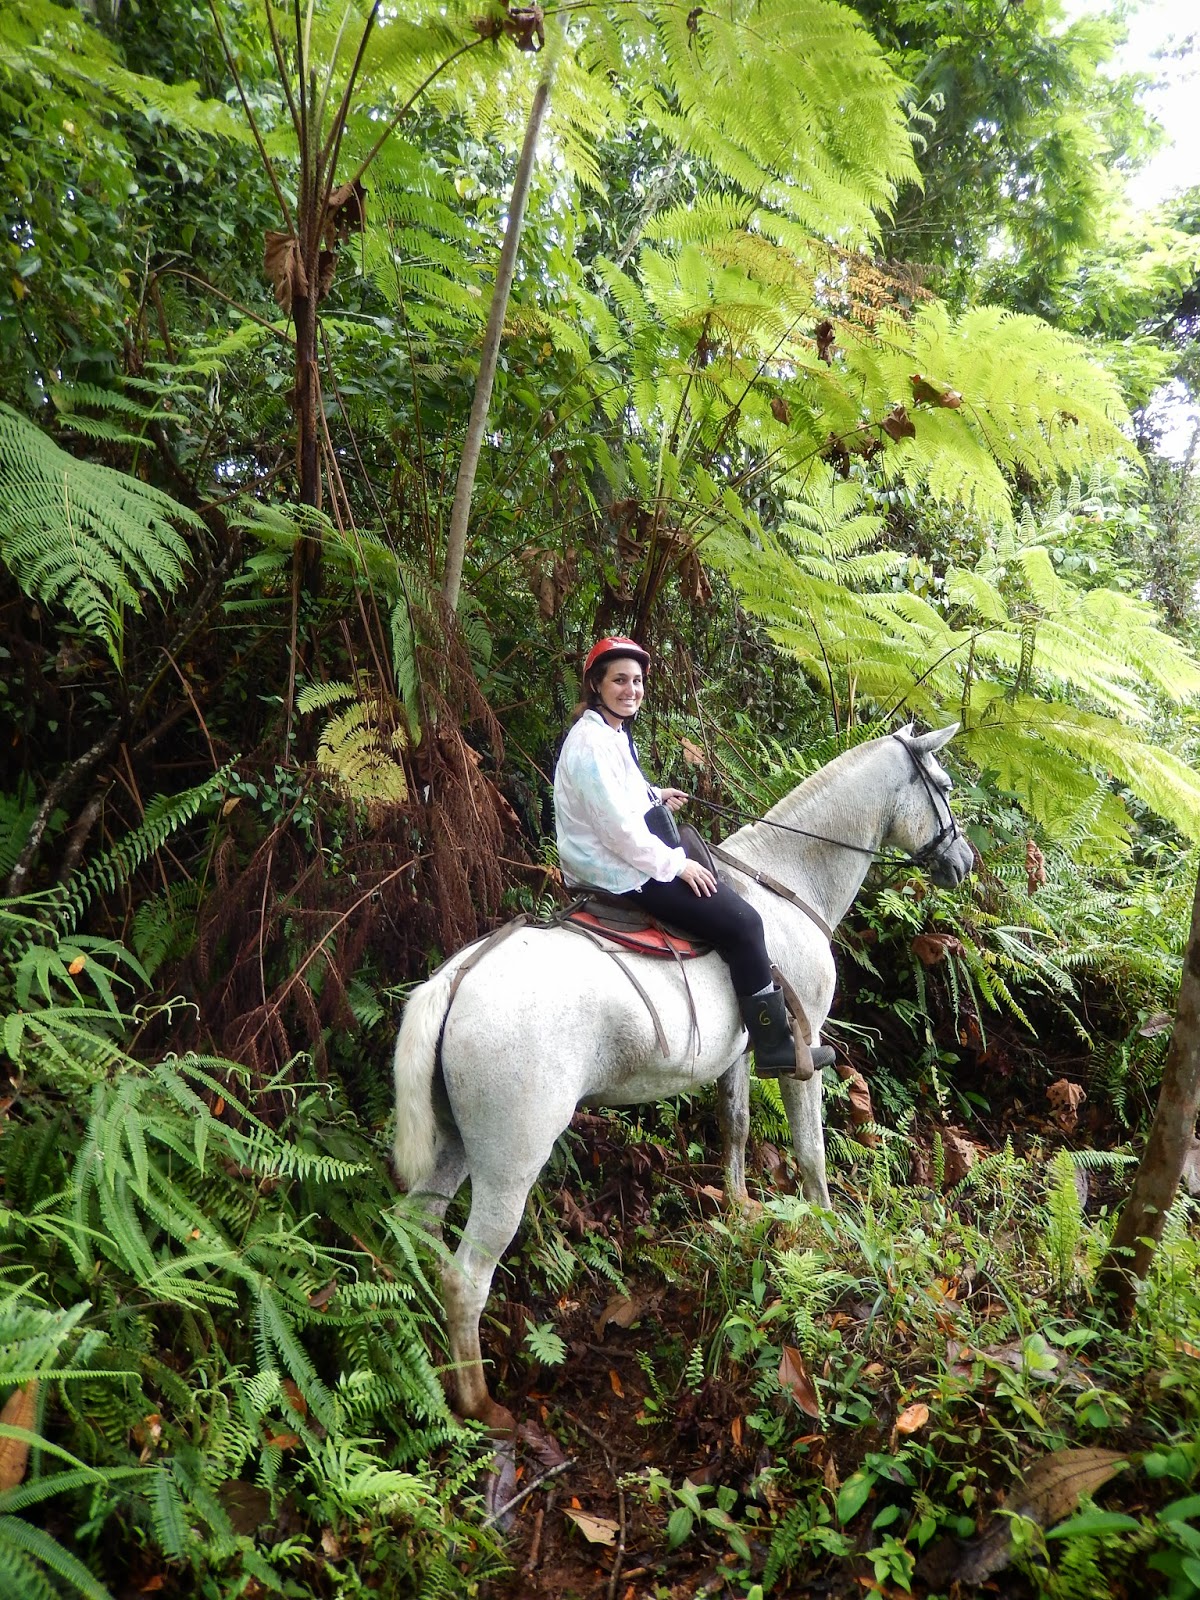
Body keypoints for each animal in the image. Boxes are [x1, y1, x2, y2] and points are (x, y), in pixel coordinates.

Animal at [392, 725, 974, 1426]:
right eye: (944, 785)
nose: (964, 861)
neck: (786, 882)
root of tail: (458, 980)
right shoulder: (802, 1052)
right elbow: (809, 1150)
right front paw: (826, 1232)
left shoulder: (741, 1054)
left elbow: (737, 1125)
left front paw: (742, 1211)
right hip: (510, 1162)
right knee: (465, 1277)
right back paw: (479, 1403)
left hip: (455, 1145)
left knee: (418, 1232)